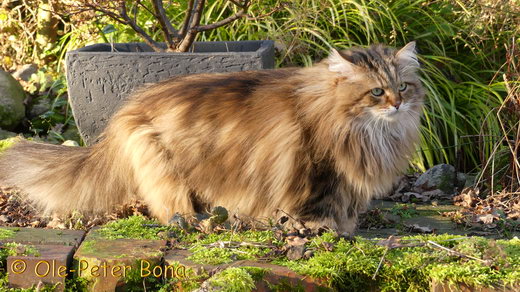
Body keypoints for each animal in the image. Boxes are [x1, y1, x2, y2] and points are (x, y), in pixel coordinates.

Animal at [0, 42, 422, 233]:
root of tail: (126, 111)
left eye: (403, 86)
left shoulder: (347, 179)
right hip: (163, 169)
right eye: (376, 92)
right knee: (171, 213)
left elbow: (346, 206)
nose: (398, 103)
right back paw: (204, 222)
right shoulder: (319, 168)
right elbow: (318, 207)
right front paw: (325, 231)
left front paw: (346, 228)